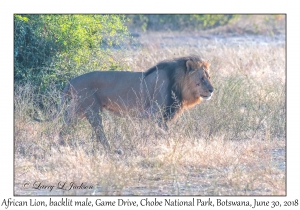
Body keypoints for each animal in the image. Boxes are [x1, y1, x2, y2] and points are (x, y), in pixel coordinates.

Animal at [40, 55, 213, 151]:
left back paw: (61, 145)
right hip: (92, 110)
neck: (178, 84)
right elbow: (163, 133)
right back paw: (111, 149)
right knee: (99, 133)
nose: (212, 90)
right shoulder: (156, 114)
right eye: (202, 78)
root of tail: (72, 81)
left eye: (209, 77)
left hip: (77, 110)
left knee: (64, 128)